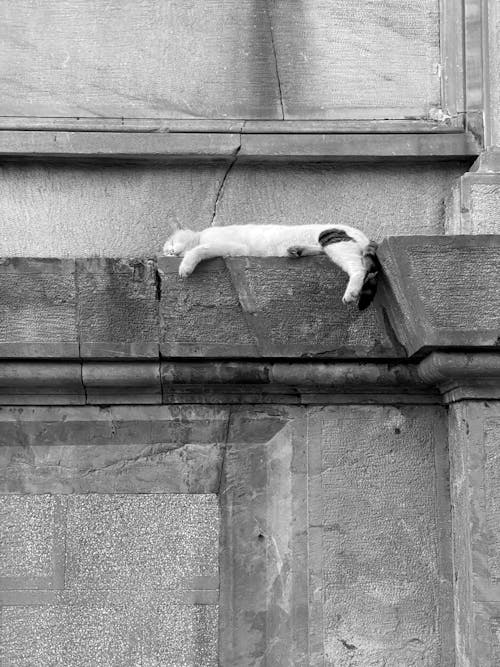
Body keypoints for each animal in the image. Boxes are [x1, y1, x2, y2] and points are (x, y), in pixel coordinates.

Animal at [163, 223, 378, 310]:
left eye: (171, 243)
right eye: (166, 251)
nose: (169, 253)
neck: (200, 235)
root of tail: (365, 236)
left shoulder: (231, 246)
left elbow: (198, 250)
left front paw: (185, 266)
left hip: (332, 240)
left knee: (358, 268)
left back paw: (351, 293)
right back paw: (297, 250)